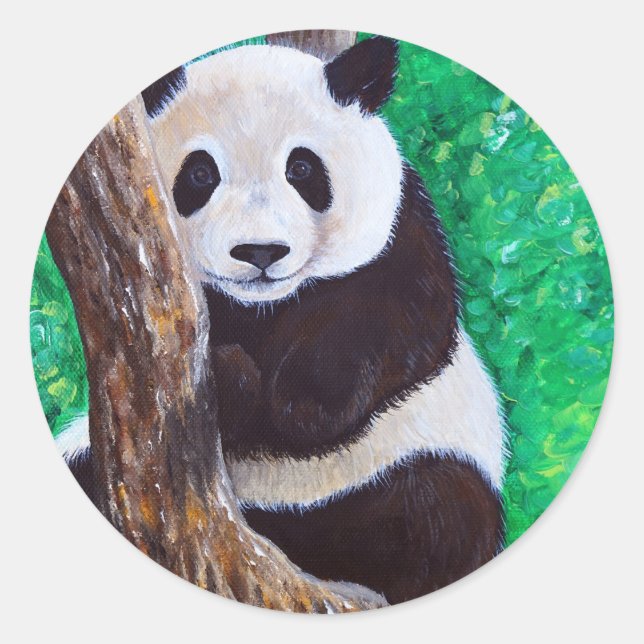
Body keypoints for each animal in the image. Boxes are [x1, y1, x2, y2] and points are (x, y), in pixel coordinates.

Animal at [56, 36, 506, 605]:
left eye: (302, 170)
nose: (260, 251)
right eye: (200, 174)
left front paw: (293, 399)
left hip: (413, 459)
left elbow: (396, 319)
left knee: (436, 509)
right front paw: (231, 378)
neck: (263, 308)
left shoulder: (400, 236)